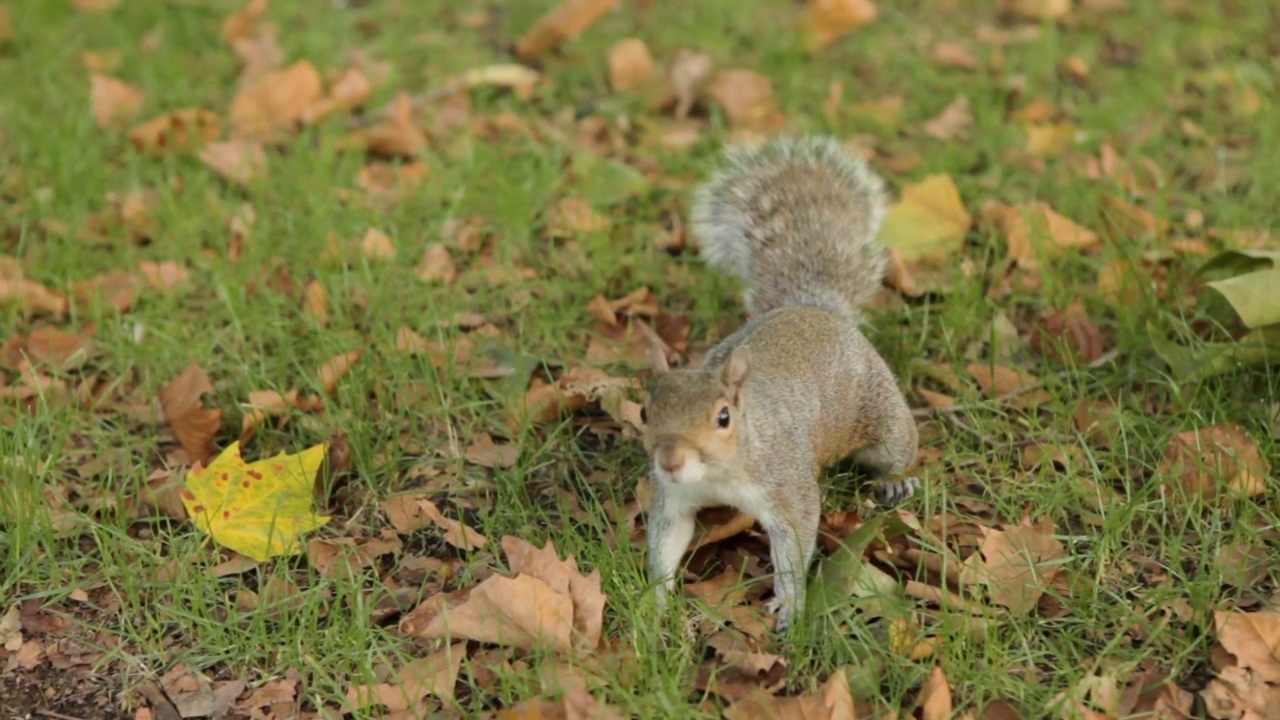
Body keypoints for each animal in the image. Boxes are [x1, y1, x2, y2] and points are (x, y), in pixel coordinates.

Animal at [640, 133, 921, 627]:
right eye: (644, 412)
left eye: (724, 417)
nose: (670, 461)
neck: (720, 471)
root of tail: (814, 307)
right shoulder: (674, 498)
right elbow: (667, 541)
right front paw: (656, 602)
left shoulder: (786, 485)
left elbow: (794, 541)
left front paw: (790, 604)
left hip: (883, 412)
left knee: (898, 448)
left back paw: (895, 480)